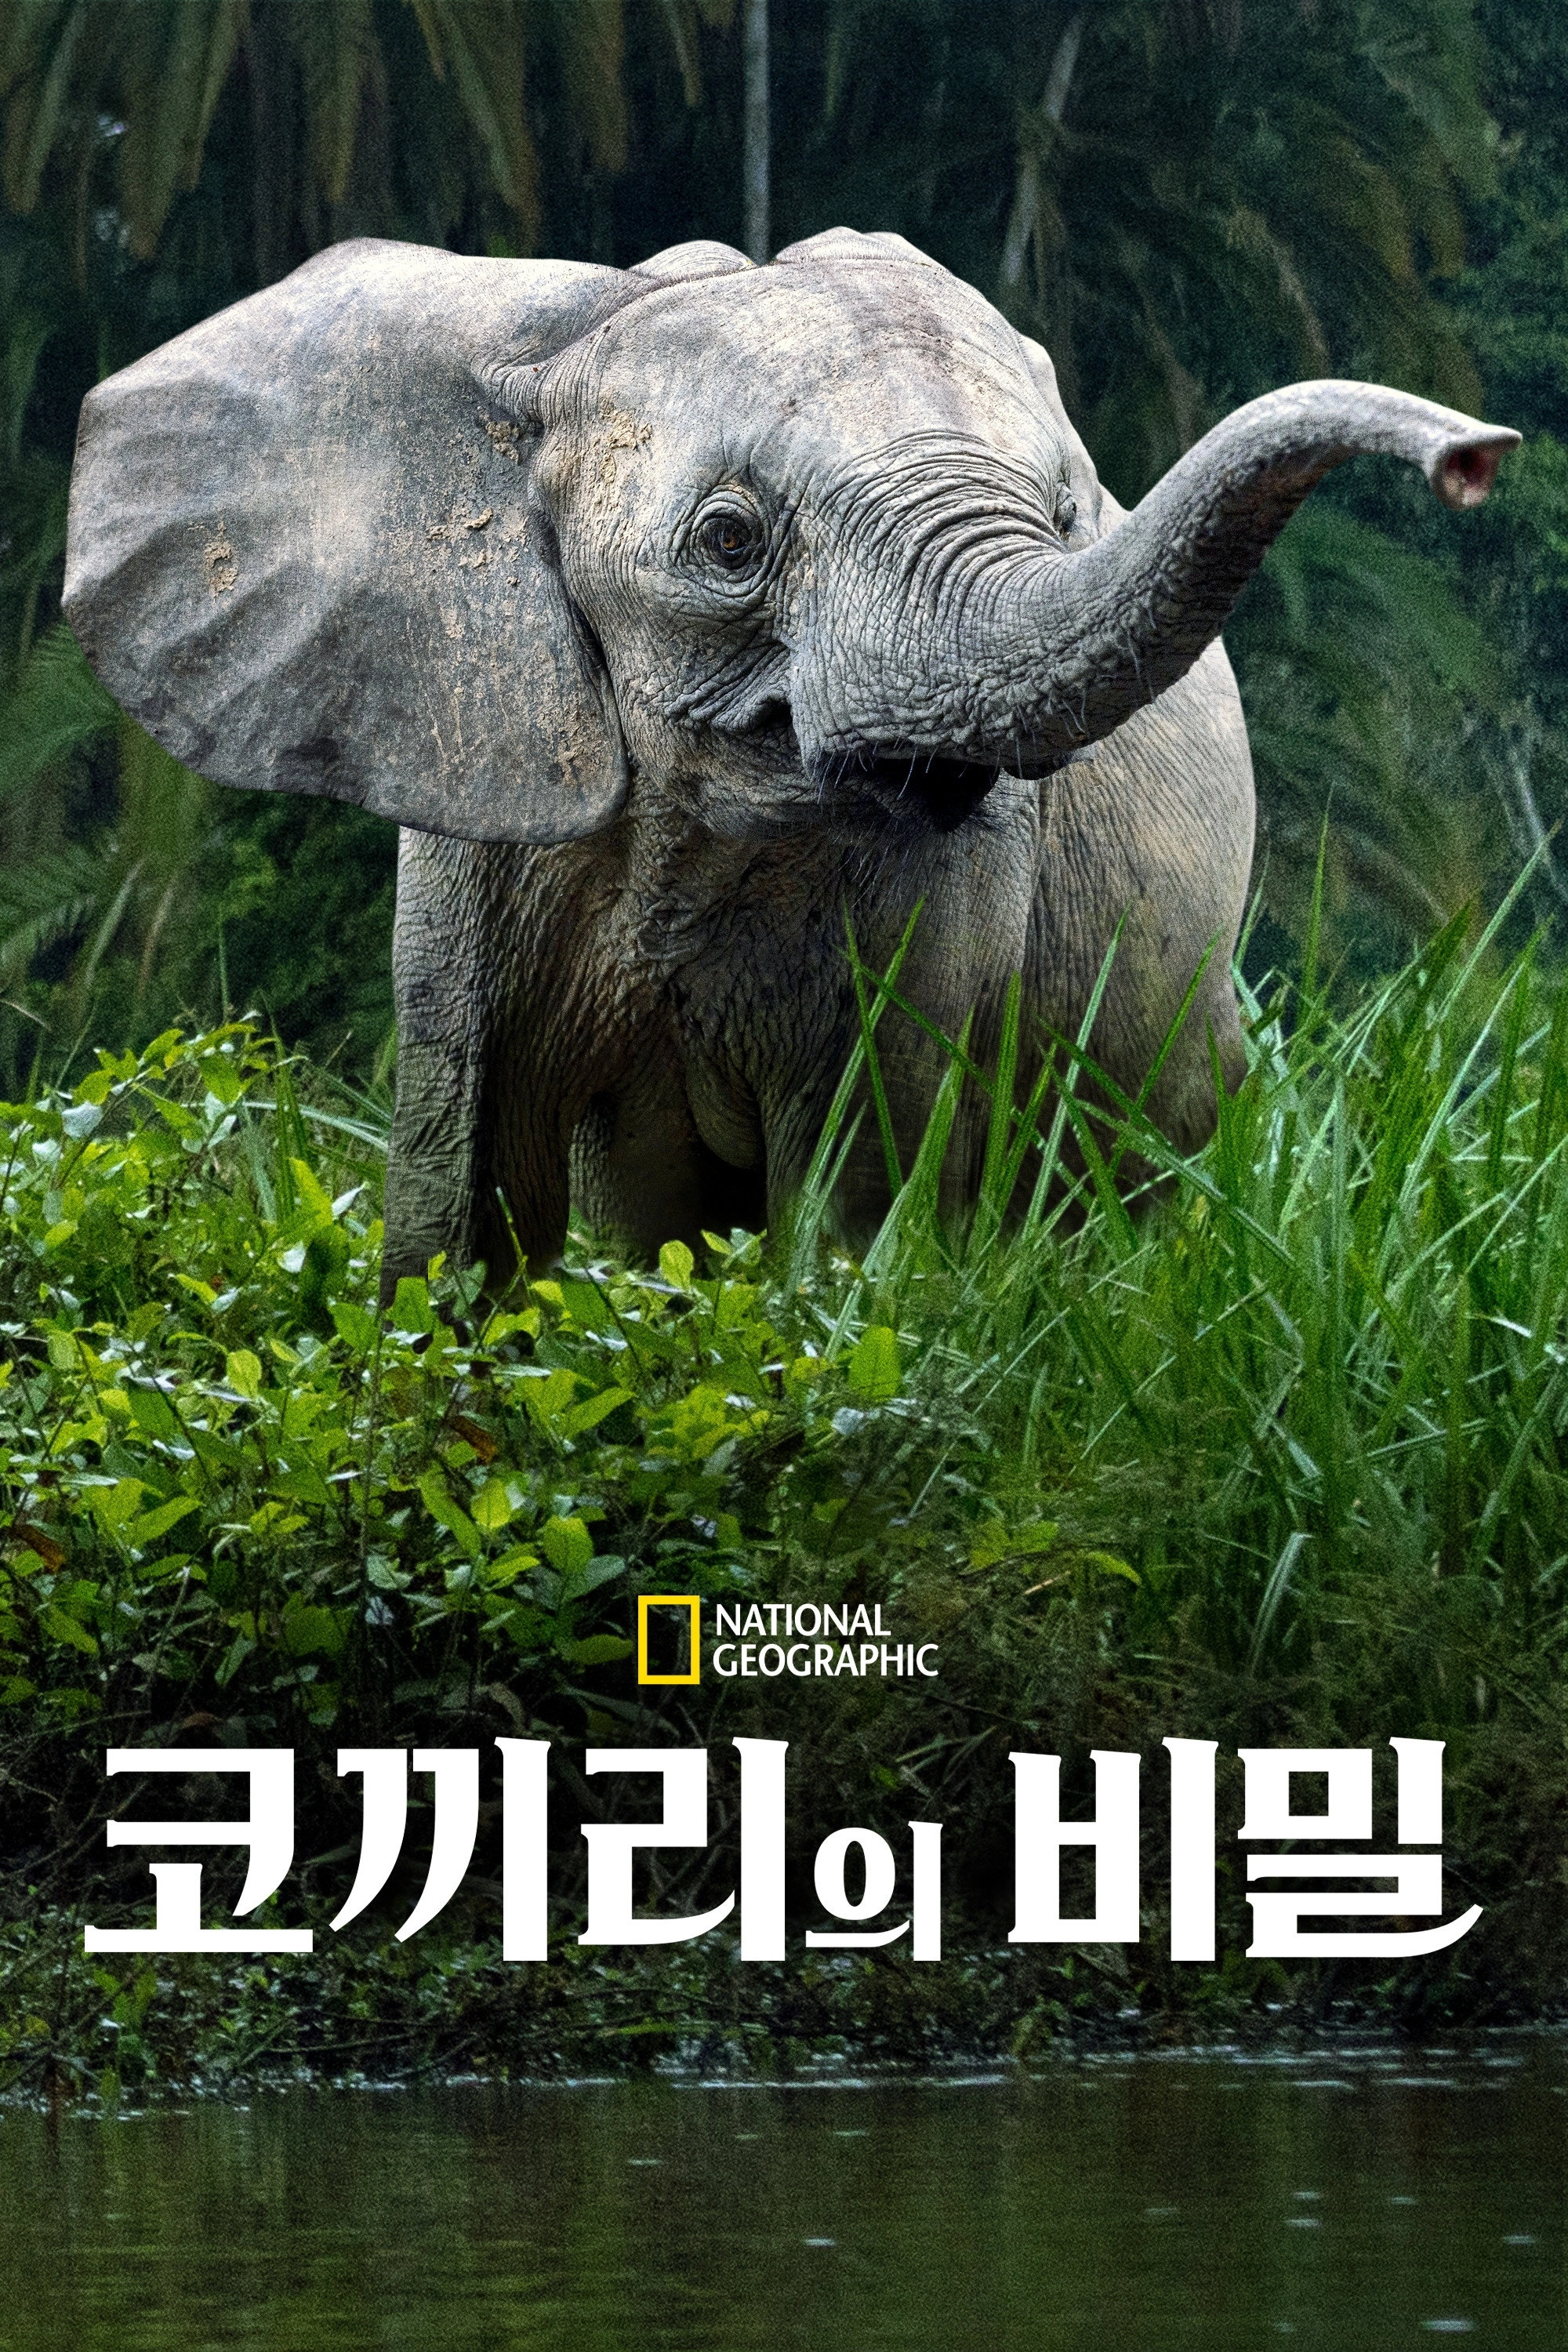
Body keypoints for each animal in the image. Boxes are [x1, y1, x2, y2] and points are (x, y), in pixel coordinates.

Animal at [62, 228, 1517, 1292]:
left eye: (1067, 518)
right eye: (729, 540)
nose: (1476, 458)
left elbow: (855, 1187)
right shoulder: (479, 786)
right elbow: (467, 1189)